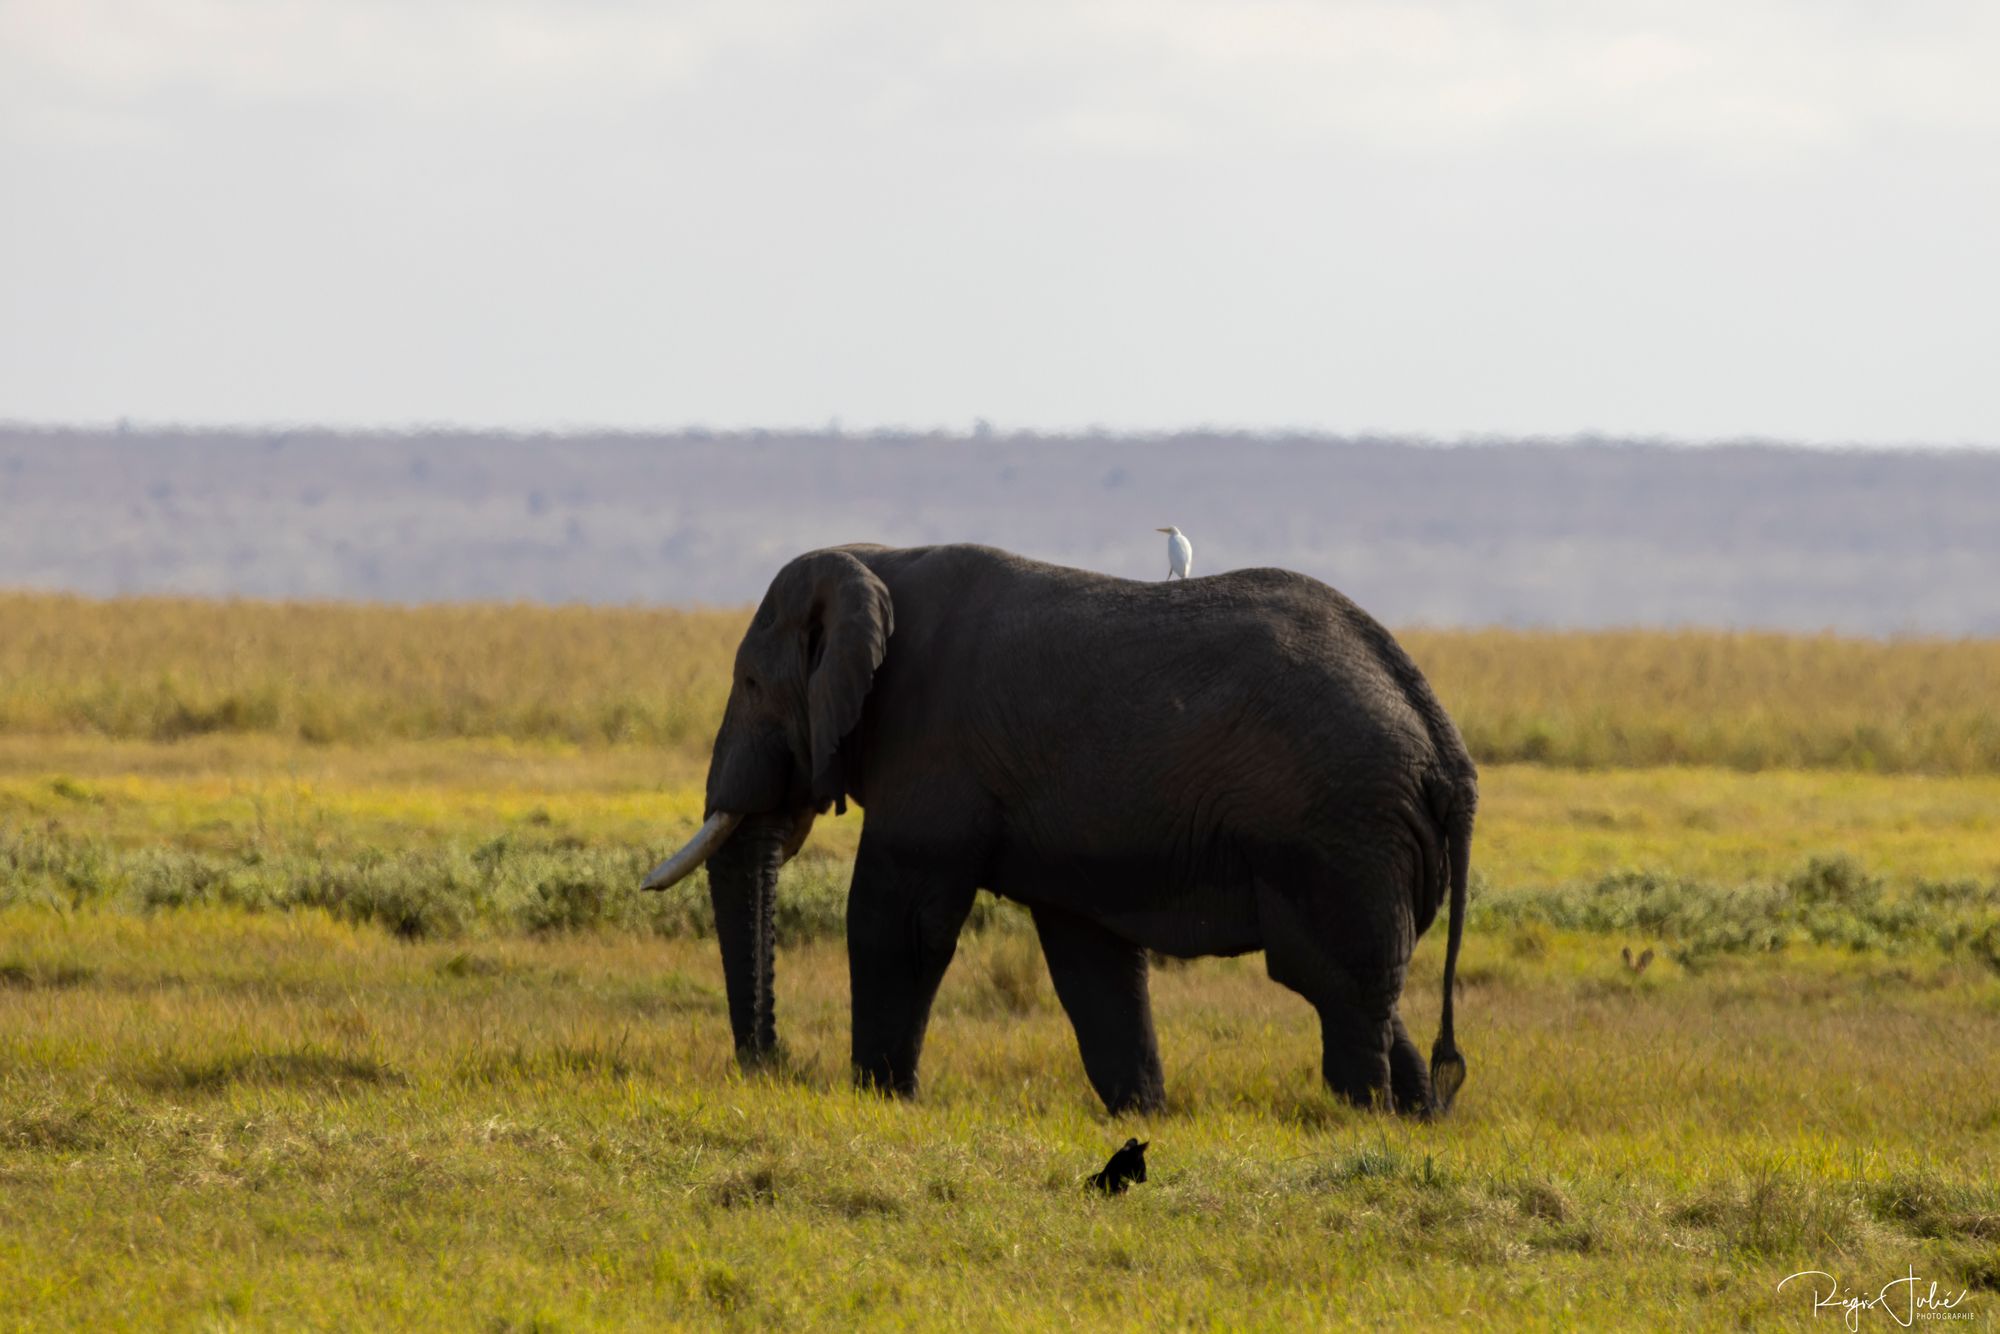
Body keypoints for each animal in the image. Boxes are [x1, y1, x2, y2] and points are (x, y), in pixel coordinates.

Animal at [648, 544, 1480, 1120]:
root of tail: (1447, 747)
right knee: (1361, 989)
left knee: (1334, 984)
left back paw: (1357, 1118)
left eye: (751, 684)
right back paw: (1414, 1120)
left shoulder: (933, 750)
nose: (774, 1065)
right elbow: (1089, 957)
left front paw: (881, 1101)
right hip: (1361, 838)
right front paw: (1144, 1116)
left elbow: (897, 923)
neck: (879, 561)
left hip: (1341, 831)